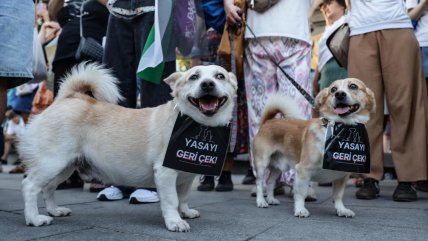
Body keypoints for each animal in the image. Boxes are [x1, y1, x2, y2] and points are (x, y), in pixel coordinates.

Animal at [18, 62, 237, 232]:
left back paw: (55, 211)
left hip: (66, 166)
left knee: (48, 188)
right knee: (30, 186)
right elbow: (171, 201)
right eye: (194, 77)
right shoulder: (165, 174)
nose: (207, 84)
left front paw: (185, 212)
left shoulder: (186, 175)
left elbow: (183, 197)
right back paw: (34, 219)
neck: (196, 123)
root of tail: (69, 97)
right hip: (52, 162)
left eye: (220, 76)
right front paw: (175, 222)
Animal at [252, 78, 376, 217]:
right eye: (333, 89)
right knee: (259, 182)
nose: (339, 94)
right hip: (262, 162)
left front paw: (341, 209)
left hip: (279, 167)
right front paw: (300, 209)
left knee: (270, 181)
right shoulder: (303, 171)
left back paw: (271, 199)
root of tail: (267, 122)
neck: (340, 127)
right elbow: (300, 193)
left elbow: (338, 196)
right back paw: (261, 201)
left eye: (353, 86)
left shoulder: (341, 176)